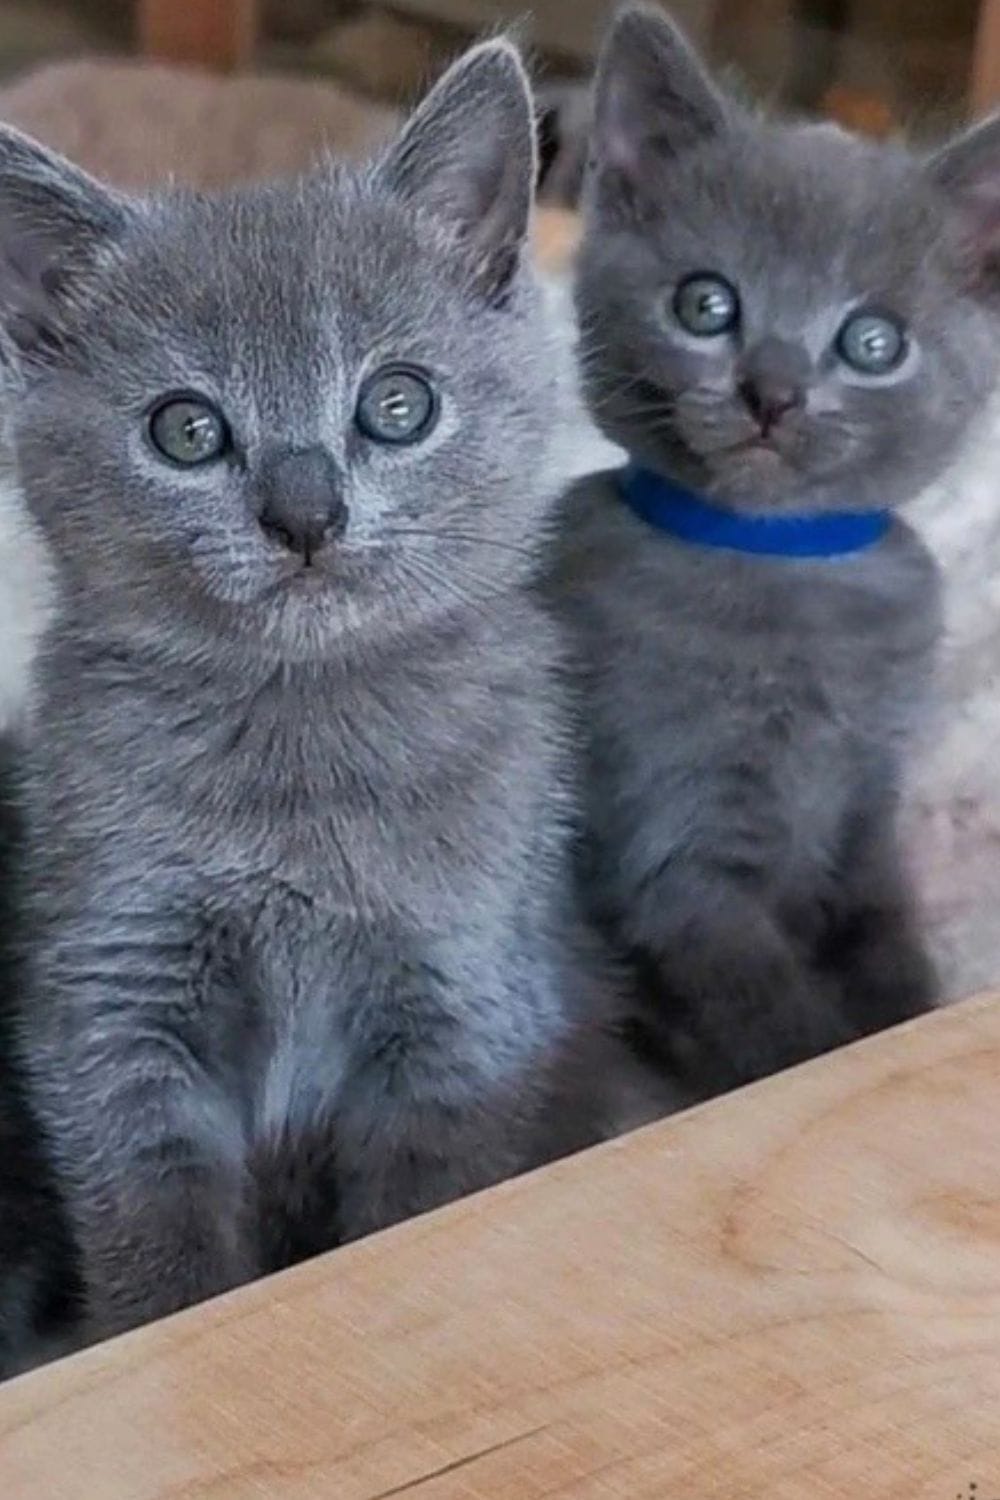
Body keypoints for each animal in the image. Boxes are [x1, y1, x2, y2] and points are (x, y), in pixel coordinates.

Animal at [5, 41, 617, 1344]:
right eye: (185, 430)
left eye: (398, 404)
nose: (304, 510)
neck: (295, 757)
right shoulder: (115, 995)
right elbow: (154, 1231)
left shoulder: (462, 1005)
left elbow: (415, 1213)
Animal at [551, 5, 1000, 1098]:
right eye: (705, 305)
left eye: (874, 343)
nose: (774, 392)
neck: (784, 572)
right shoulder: (674, 865)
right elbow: (781, 1034)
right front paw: (822, 1052)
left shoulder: (869, 815)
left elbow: (891, 957)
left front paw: (901, 1015)